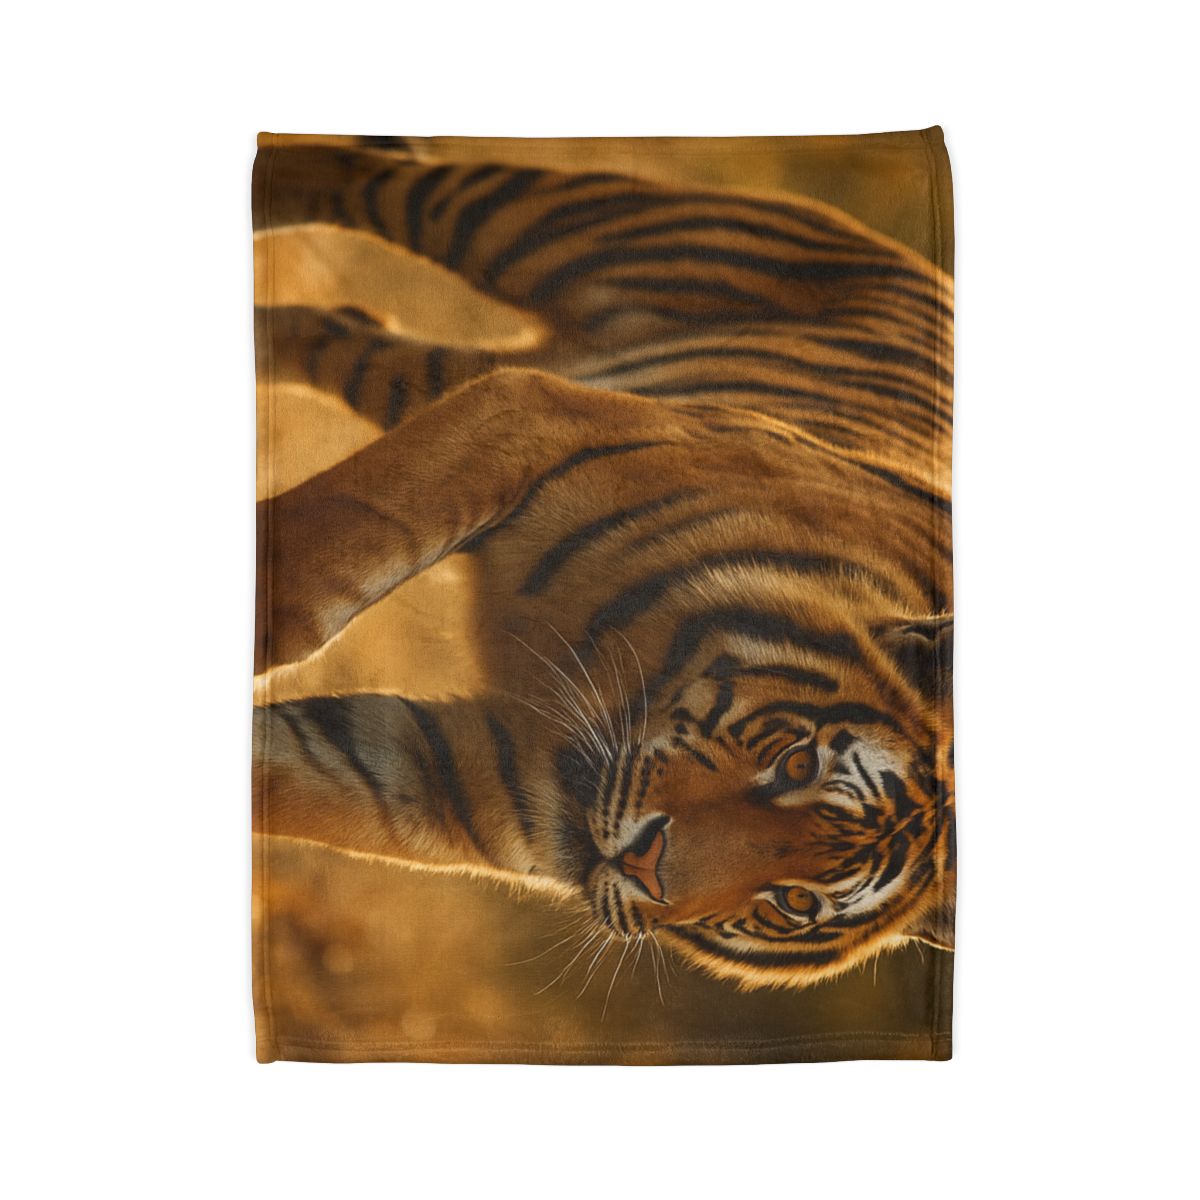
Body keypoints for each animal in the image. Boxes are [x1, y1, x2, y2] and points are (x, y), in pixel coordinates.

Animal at [253, 135, 955, 991]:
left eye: (794, 903)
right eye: (797, 765)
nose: (648, 867)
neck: (629, 688)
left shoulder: (454, 773)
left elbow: (286, 767)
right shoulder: (533, 414)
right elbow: (338, 546)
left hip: (422, 375)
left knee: (342, 323)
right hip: (540, 230)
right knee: (360, 172)